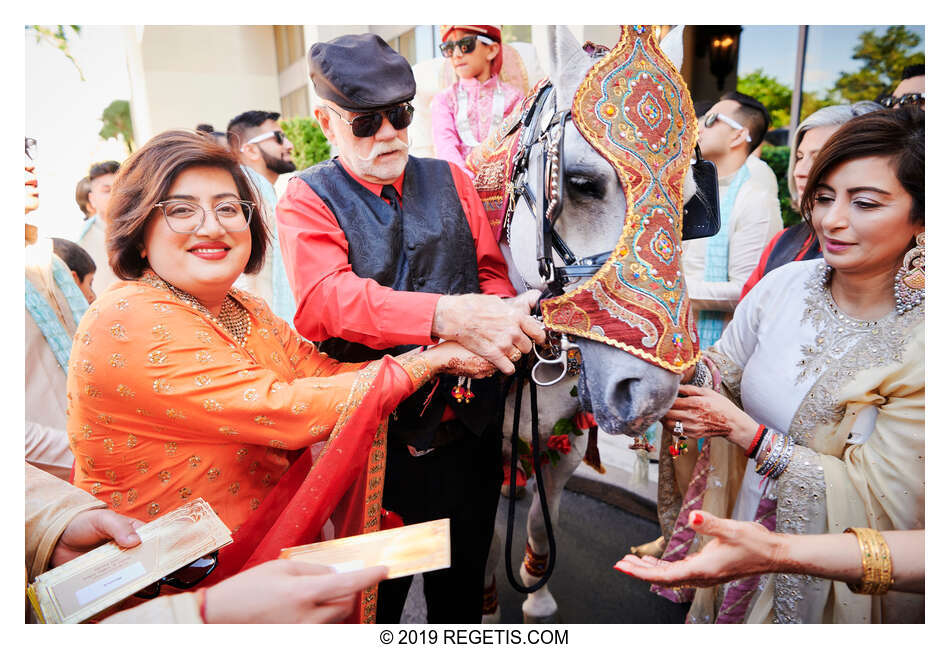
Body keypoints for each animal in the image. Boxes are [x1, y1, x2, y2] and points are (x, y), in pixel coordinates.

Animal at [480, 25, 696, 624]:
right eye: (579, 182)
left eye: (691, 206)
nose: (649, 393)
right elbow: (483, 544)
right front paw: (486, 609)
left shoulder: (566, 439)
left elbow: (543, 520)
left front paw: (537, 595)